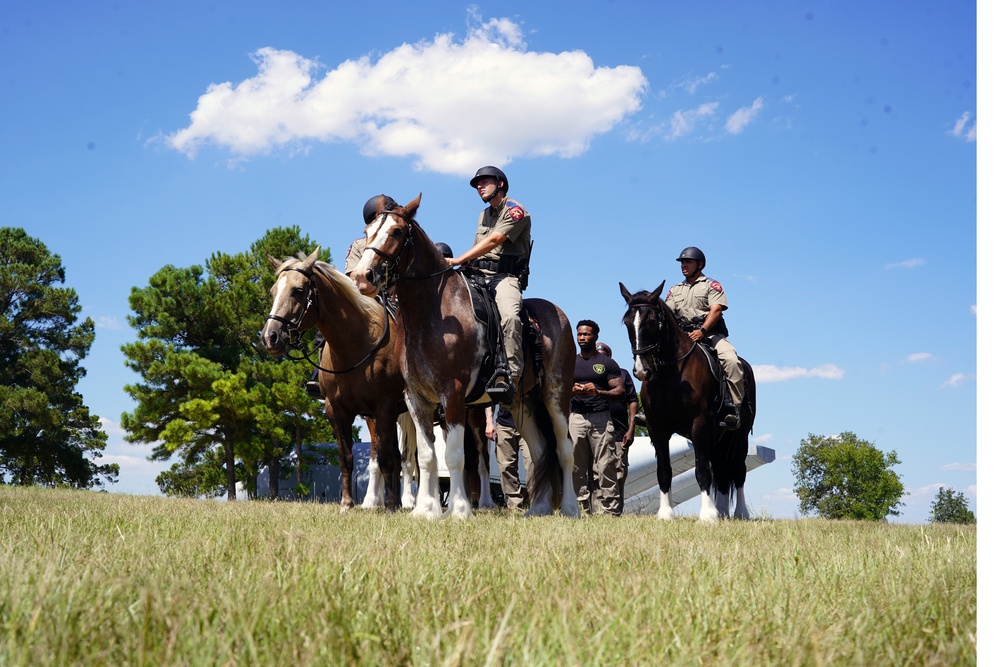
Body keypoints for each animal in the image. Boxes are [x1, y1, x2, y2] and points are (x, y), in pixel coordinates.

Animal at [262, 250, 414, 512]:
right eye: (273, 291)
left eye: (298, 291)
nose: (270, 337)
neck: (356, 344)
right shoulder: (338, 411)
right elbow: (346, 458)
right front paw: (347, 503)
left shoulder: (384, 407)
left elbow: (386, 458)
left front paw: (390, 505)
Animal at [616, 282, 756, 520]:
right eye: (626, 322)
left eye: (651, 321)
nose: (642, 371)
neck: (670, 374)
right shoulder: (657, 429)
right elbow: (664, 472)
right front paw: (665, 513)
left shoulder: (698, 424)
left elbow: (702, 471)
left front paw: (706, 516)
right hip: (717, 438)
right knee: (721, 470)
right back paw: (721, 512)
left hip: (739, 434)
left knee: (738, 471)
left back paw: (740, 513)